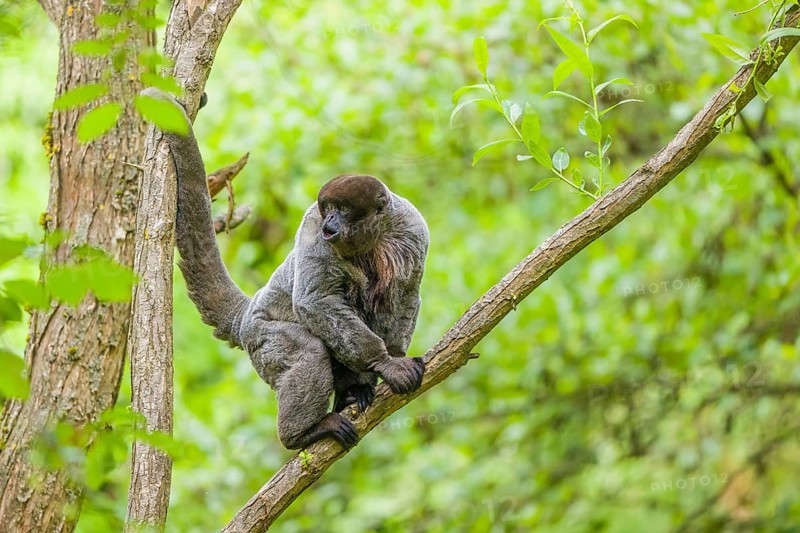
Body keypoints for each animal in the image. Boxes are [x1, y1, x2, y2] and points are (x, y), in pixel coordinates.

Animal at [141, 89, 429, 450]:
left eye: (342, 210)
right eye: (328, 208)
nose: (330, 222)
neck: (371, 241)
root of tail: (246, 313)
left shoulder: (412, 229)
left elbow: (406, 295)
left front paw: (391, 358)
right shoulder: (312, 229)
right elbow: (315, 301)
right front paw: (386, 363)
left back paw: (352, 391)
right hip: (261, 336)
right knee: (309, 351)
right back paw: (302, 433)